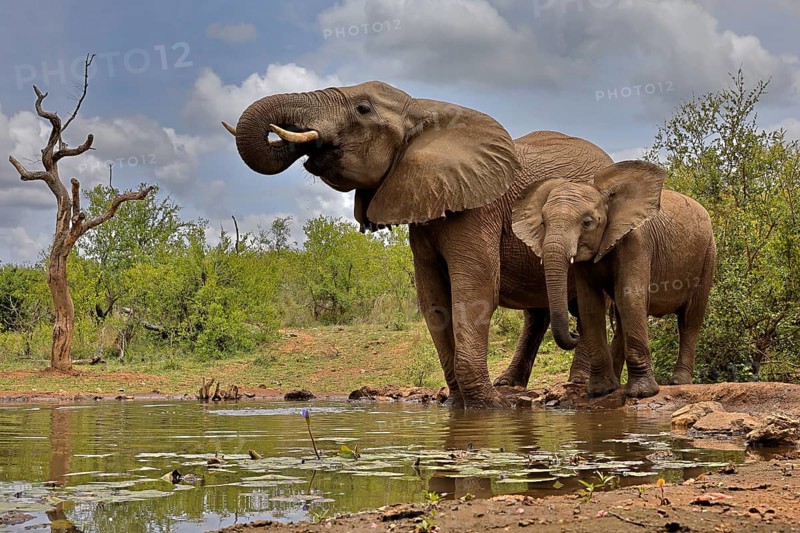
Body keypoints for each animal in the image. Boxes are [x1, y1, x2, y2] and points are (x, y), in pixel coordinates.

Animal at [223, 80, 612, 407]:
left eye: (362, 109)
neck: (422, 111)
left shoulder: (478, 208)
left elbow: (475, 295)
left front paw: (491, 407)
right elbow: (433, 301)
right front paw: (462, 404)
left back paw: (574, 386)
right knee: (539, 311)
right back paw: (510, 384)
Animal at [511, 160, 716, 398]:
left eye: (587, 223)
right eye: (543, 223)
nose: (574, 333)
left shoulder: (637, 242)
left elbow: (630, 299)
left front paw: (641, 393)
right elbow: (590, 307)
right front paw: (601, 391)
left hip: (708, 254)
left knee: (690, 318)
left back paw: (677, 381)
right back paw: (617, 382)